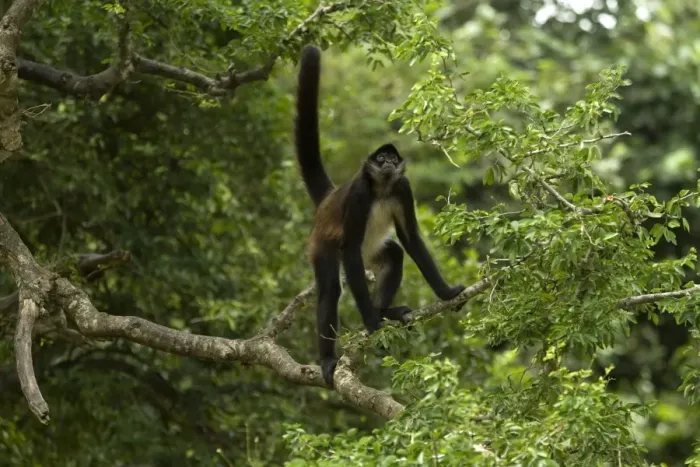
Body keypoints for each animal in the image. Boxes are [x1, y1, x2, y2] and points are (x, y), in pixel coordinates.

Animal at [294, 44, 466, 387]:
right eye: (381, 158)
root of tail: (329, 198)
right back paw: (330, 357)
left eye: (392, 159)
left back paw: (385, 311)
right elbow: (349, 250)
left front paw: (445, 293)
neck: (383, 189)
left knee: (394, 255)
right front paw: (371, 323)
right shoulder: (361, 192)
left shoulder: (402, 187)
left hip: (371, 251)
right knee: (331, 287)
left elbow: (410, 238)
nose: (387, 162)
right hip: (322, 245)